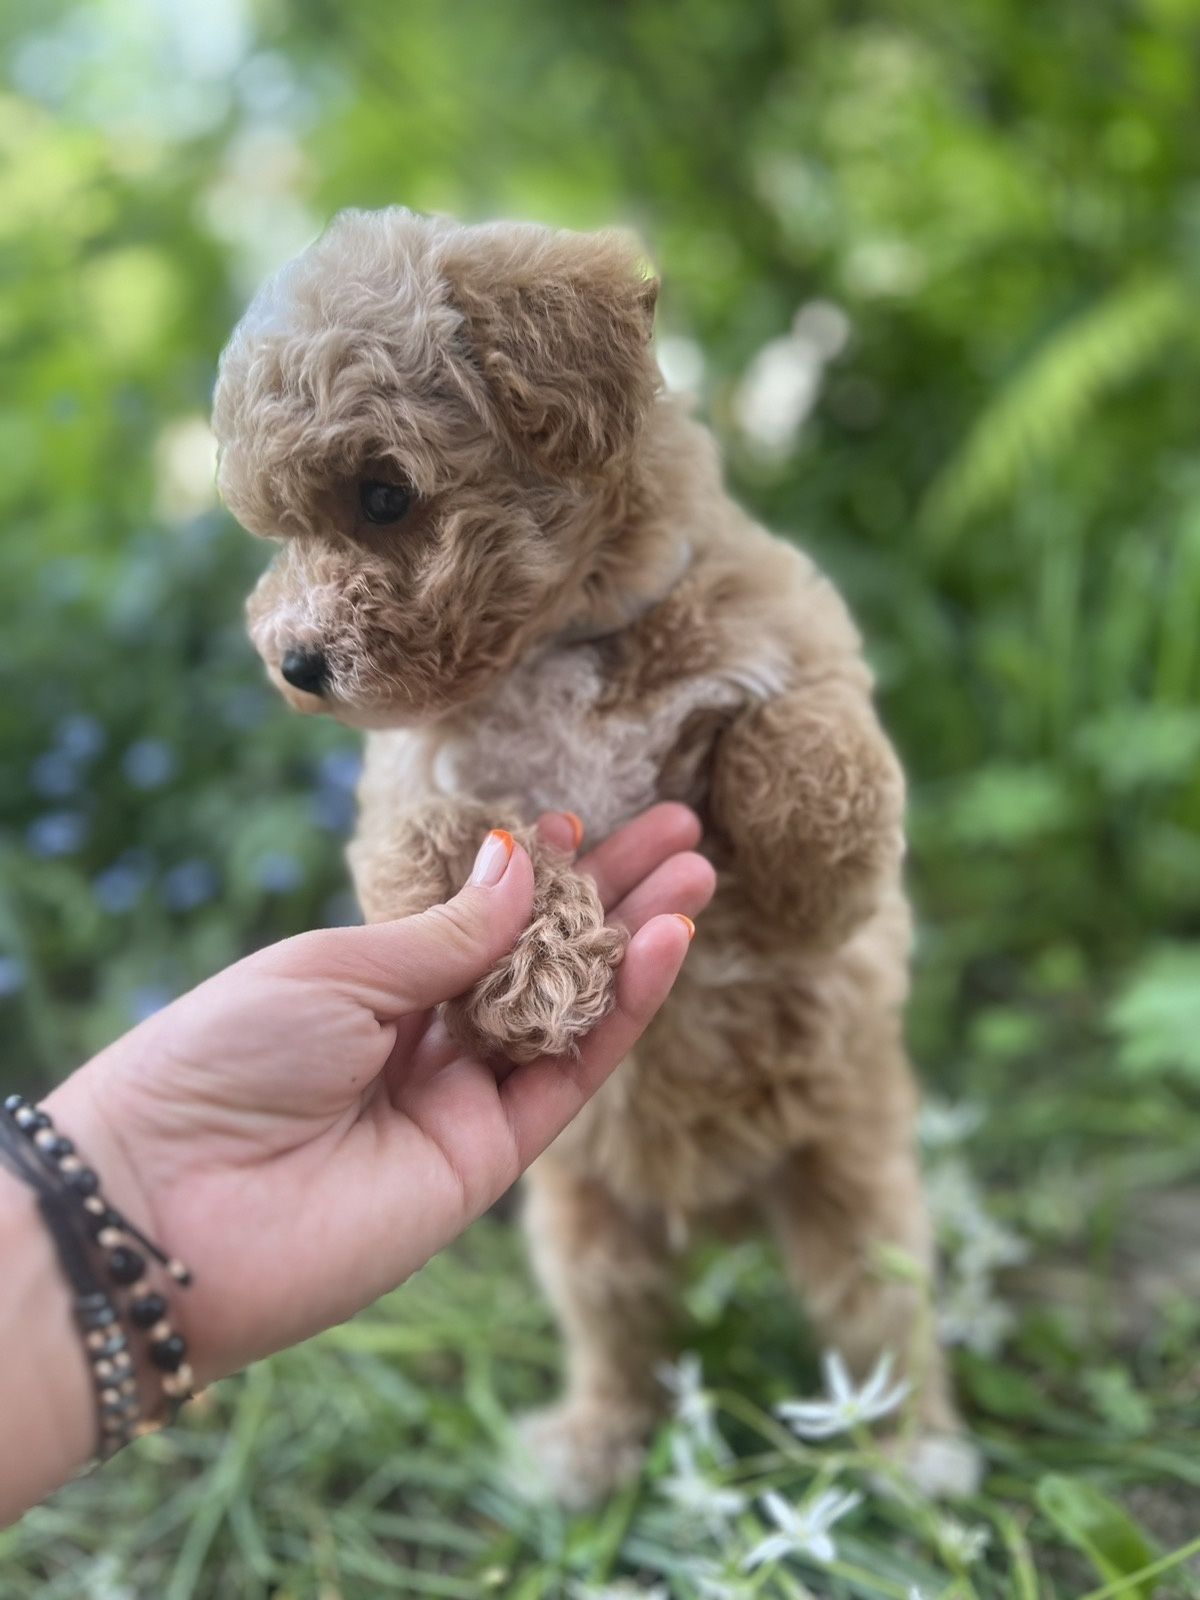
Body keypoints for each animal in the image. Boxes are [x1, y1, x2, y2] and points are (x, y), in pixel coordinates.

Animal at [216, 209, 979, 1497]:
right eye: (282, 531)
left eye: (383, 495)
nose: (298, 664)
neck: (563, 641)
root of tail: (713, 1210)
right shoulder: (413, 802)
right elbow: (483, 849)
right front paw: (538, 976)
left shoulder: (796, 654)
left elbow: (797, 741)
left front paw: (811, 877)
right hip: (583, 1227)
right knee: (624, 1337)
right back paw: (587, 1449)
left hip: (857, 1186)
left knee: (876, 1317)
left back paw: (917, 1452)